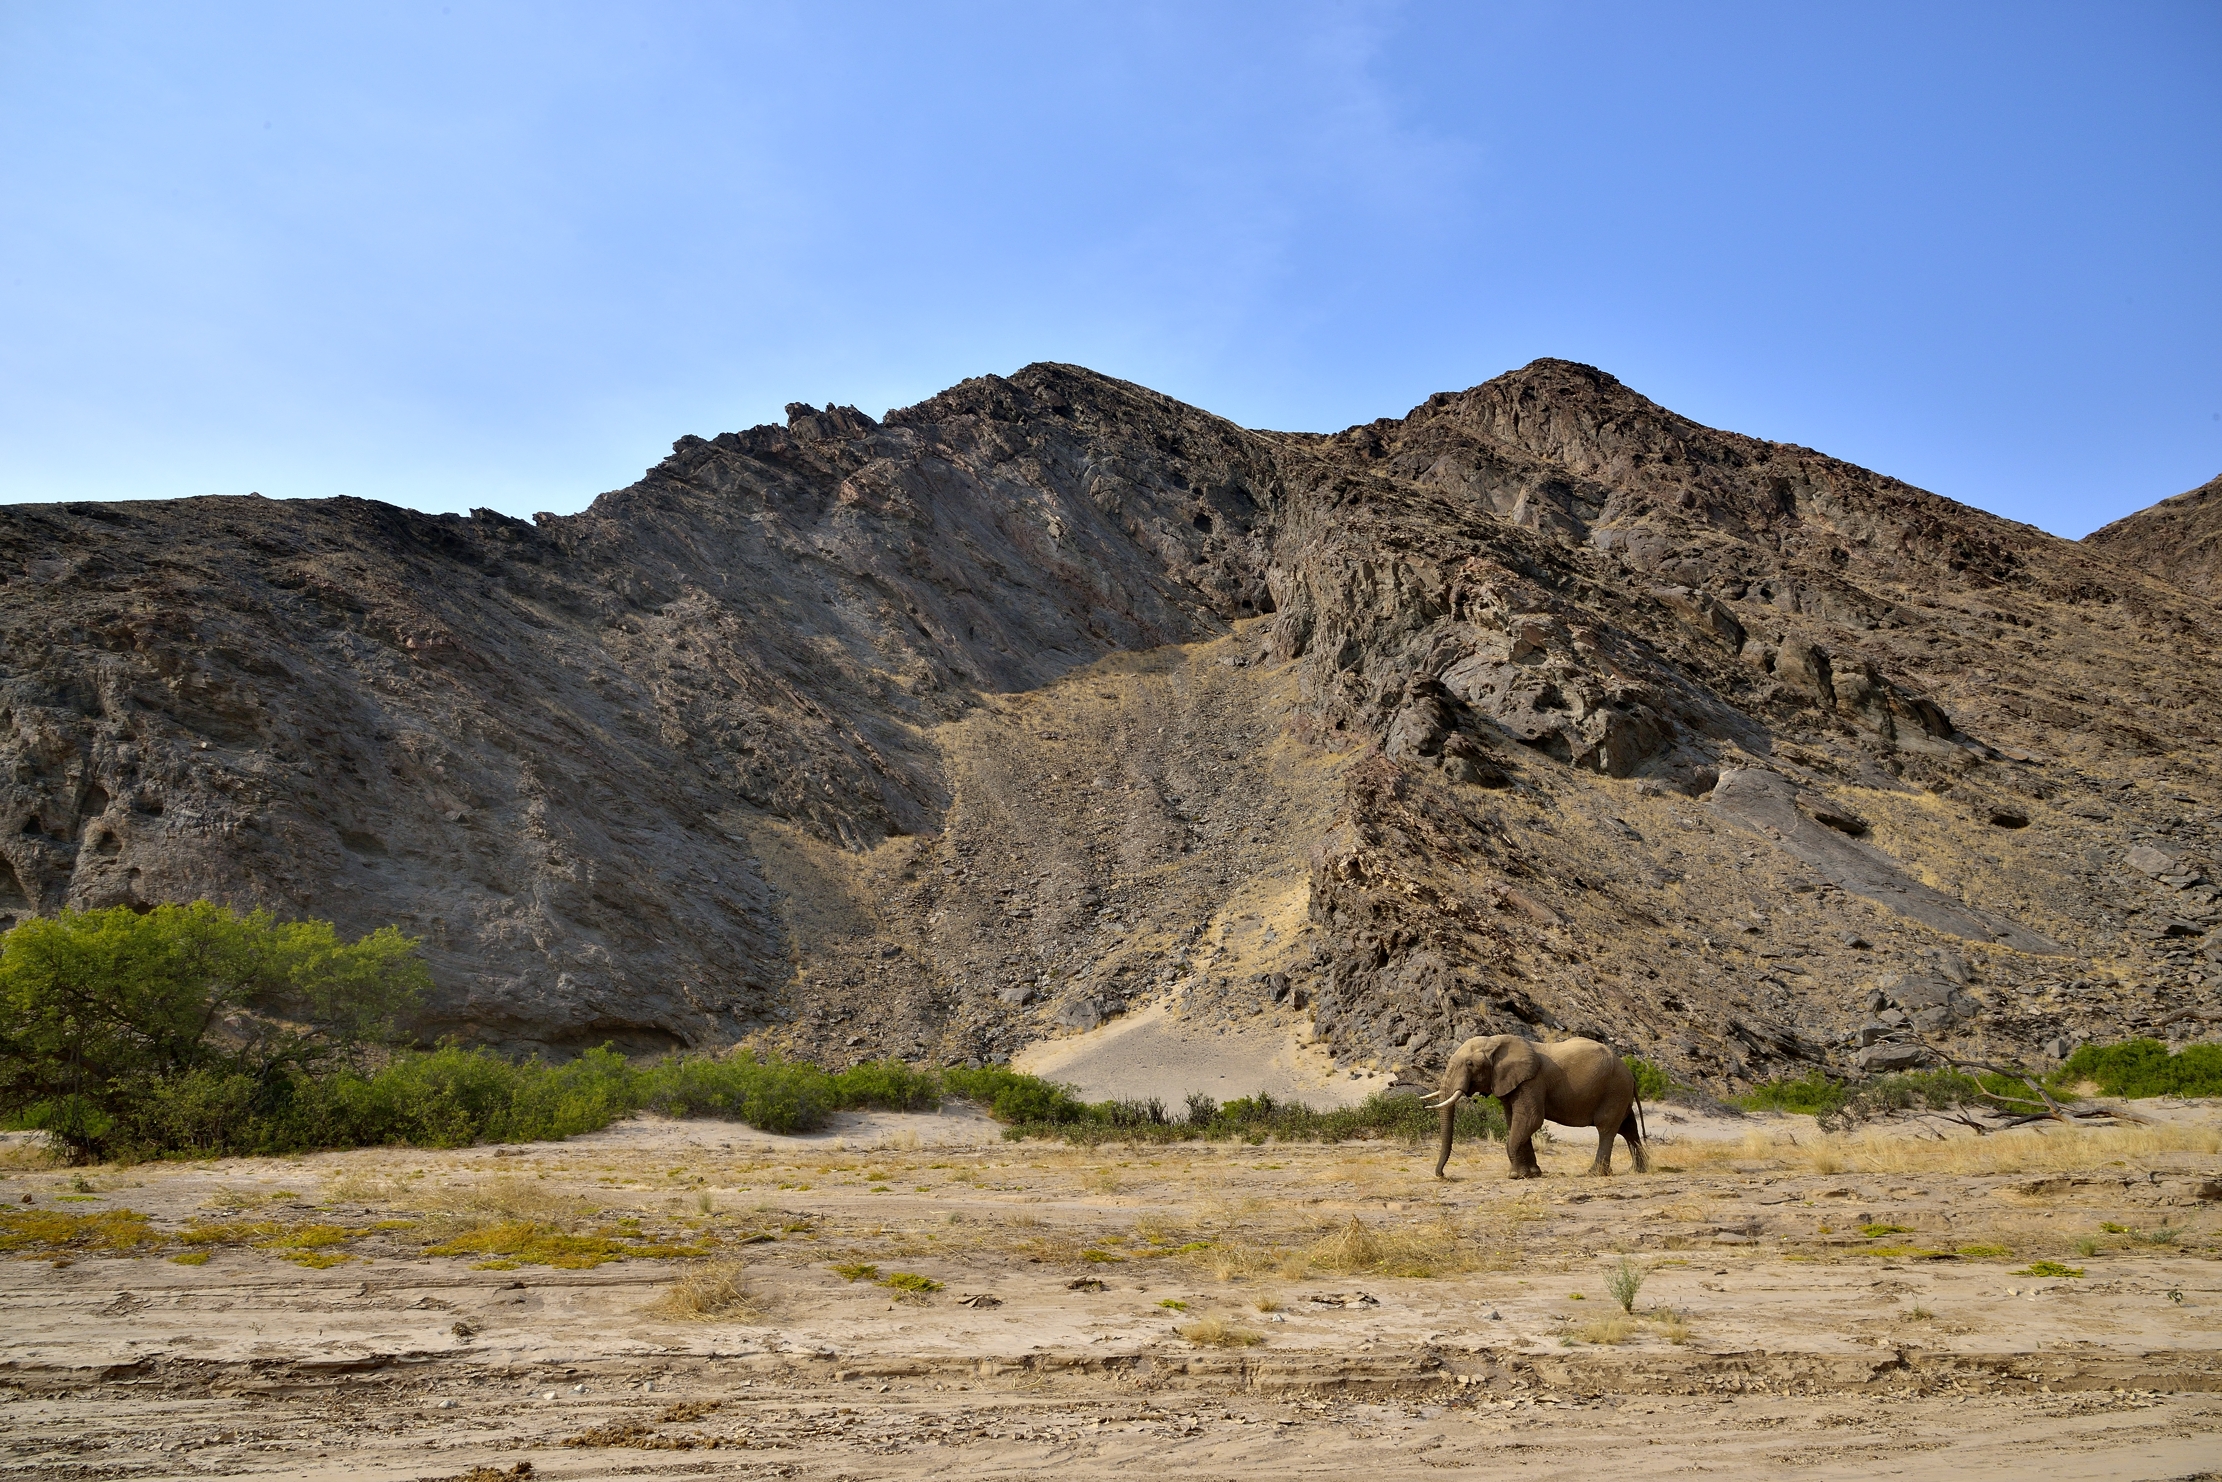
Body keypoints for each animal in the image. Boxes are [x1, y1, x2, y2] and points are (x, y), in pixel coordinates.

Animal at [1429, 1034, 1647, 1179]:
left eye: (1469, 1064)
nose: (1443, 1175)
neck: (1495, 1042)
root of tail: (1631, 1075)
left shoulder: (1532, 1082)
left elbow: (1530, 1119)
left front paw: (1515, 1175)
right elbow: (1514, 1122)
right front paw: (1532, 1173)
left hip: (1614, 1090)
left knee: (1607, 1128)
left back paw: (1596, 1173)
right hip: (1620, 1093)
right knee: (1628, 1128)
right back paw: (1637, 1171)